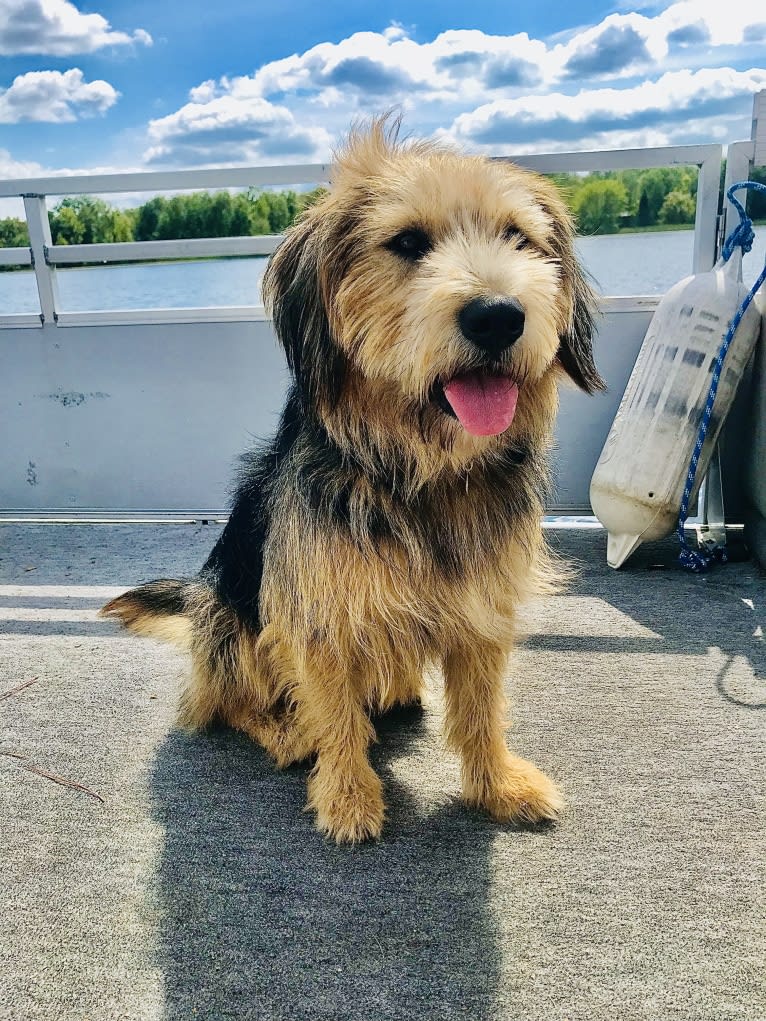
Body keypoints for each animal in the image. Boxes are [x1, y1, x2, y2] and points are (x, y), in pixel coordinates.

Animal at [103, 119, 604, 841]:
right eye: (408, 242)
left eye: (518, 237)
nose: (498, 316)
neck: (421, 472)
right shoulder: (317, 613)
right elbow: (335, 710)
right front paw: (347, 796)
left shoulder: (484, 603)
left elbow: (481, 707)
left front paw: (497, 784)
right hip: (227, 619)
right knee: (226, 701)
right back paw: (286, 730)